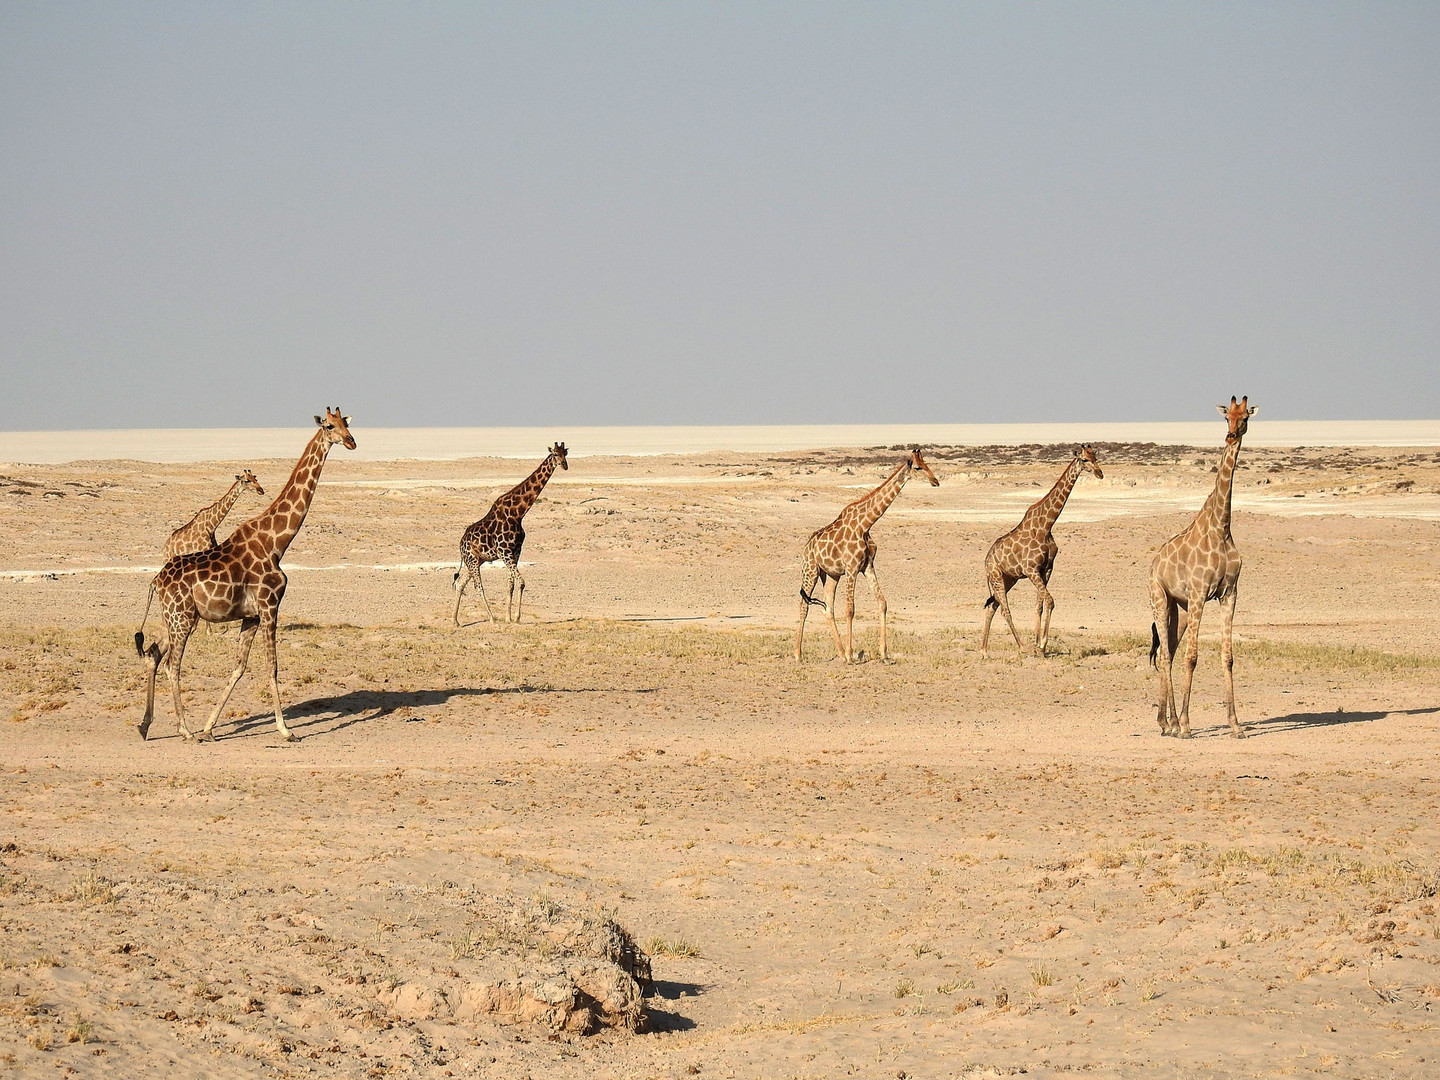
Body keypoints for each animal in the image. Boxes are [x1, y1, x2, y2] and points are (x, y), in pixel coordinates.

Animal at [135, 408, 357, 743]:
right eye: (329, 426)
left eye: (347, 423)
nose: (351, 441)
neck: (277, 543)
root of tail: (155, 581)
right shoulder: (269, 606)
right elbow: (272, 667)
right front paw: (285, 730)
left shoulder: (250, 615)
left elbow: (238, 667)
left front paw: (210, 727)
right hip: (182, 618)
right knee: (172, 665)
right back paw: (185, 730)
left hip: (173, 617)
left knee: (152, 654)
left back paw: (146, 725)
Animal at [455, 440, 567, 624]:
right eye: (555, 454)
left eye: (566, 453)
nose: (564, 465)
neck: (518, 513)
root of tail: (460, 543)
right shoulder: (504, 552)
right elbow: (521, 582)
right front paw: (516, 617)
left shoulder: (515, 552)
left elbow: (511, 584)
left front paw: (508, 617)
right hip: (472, 559)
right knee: (478, 586)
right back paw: (492, 618)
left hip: (477, 560)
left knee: (460, 583)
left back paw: (455, 621)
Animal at [794, 446, 938, 665]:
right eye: (918, 468)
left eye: (927, 464)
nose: (935, 481)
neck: (866, 524)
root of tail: (806, 547)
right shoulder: (852, 568)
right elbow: (850, 609)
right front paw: (851, 655)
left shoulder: (867, 566)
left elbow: (882, 603)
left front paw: (884, 654)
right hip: (810, 570)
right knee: (804, 604)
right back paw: (799, 654)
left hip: (831, 574)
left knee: (828, 607)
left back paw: (839, 653)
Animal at [979, 443, 1100, 656]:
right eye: (1084, 459)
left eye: (1096, 457)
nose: (1100, 473)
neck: (1047, 525)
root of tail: (987, 560)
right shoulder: (1031, 570)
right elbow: (1050, 601)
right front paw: (1041, 644)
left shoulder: (1046, 569)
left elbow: (1040, 605)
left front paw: (1039, 646)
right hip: (996, 576)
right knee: (1004, 609)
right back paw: (1022, 647)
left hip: (1008, 578)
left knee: (992, 606)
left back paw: (984, 651)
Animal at [1146, 403, 1261, 743]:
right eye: (1226, 416)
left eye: (1245, 417)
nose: (1231, 435)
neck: (1222, 528)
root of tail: (1154, 562)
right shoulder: (1199, 593)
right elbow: (1193, 657)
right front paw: (1186, 725)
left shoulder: (1229, 593)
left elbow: (1228, 656)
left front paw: (1236, 725)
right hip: (1160, 599)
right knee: (1168, 654)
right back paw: (1171, 723)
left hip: (1180, 608)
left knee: (1170, 650)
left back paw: (1166, 721)